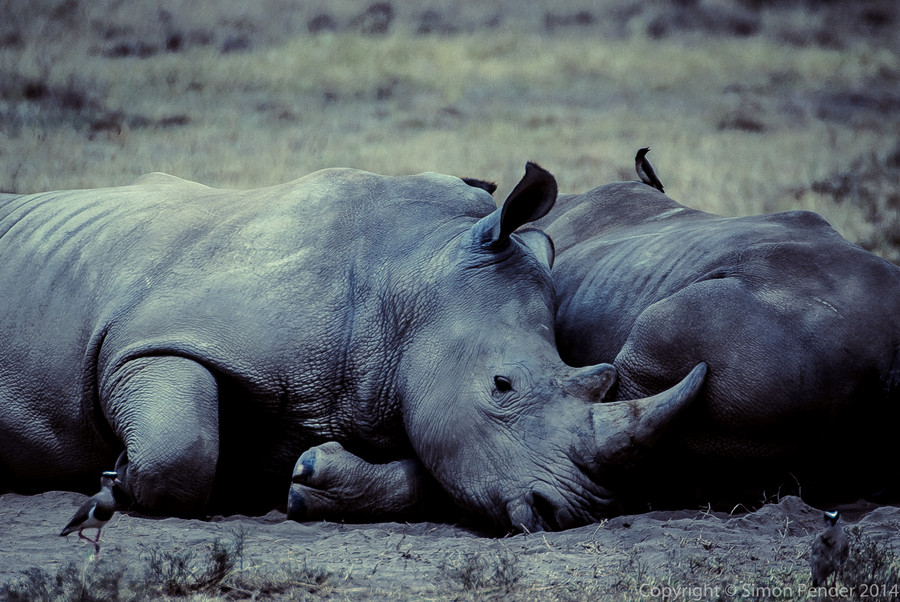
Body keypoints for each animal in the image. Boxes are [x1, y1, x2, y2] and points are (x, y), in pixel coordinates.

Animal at [0, 163, 705, 531]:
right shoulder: (152, 342)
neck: (405, 286)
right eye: (502, 386)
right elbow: (184, 448)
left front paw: (309, 482)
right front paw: (113, 485)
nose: (575, 512)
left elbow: (426, 472)